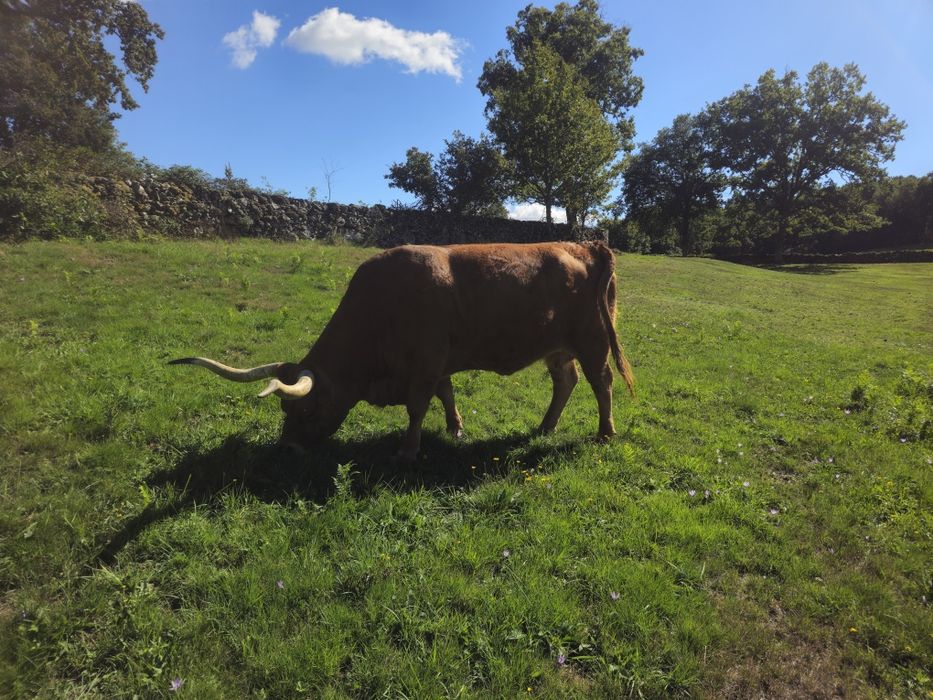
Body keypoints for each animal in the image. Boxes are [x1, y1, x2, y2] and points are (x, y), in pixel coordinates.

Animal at [170, 241, 634, 461]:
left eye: (305, 410)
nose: (287, 450)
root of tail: (582, 245)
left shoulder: (425, 365)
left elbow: (417, 407)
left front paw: (409, 451)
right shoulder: (440, 363)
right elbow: (447, 395)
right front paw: (456, 429)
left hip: (592, 342)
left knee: (602, 383)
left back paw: (604, 432)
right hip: (558, 348)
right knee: (566, 381)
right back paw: (545, 426)